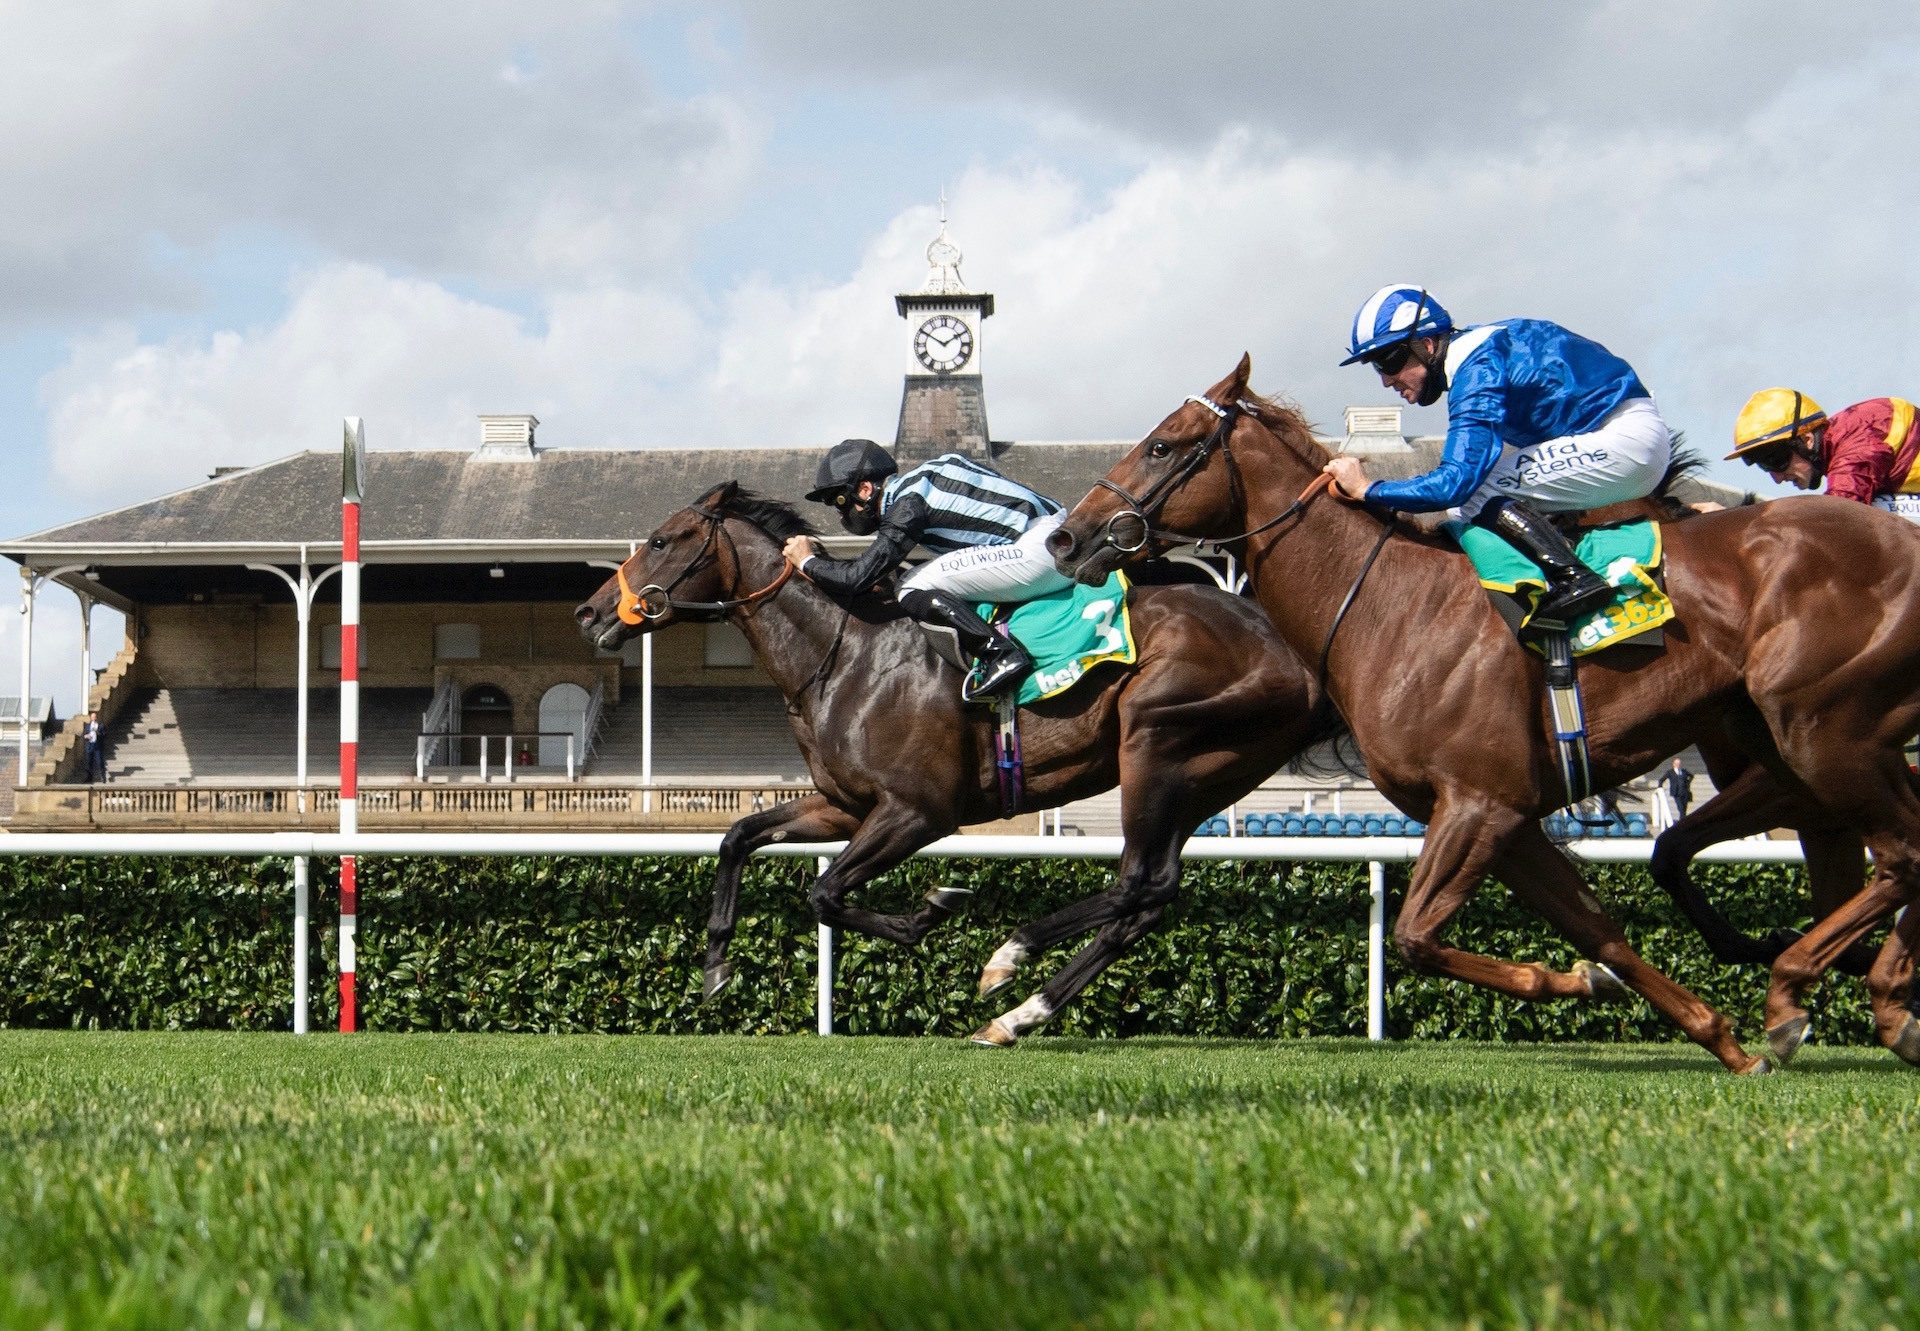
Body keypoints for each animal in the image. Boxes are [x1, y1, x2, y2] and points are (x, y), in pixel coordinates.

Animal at [576, 482, 1344, 1044]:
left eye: (662, 539)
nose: (589, 612)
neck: (846, 652)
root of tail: (1297, 649)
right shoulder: (846, 805)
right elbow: (740, 838)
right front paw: (715, 966)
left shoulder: (918, 811)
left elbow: (824, 893)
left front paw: (930, 910)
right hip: (1204, 778)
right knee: (1151, 898)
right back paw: (1017, 1016)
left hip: (1155, 744)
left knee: (1137, 882)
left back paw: (1012, 957)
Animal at [1059, 353, 1920, 1067]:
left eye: (1164, 445)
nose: (1069, 537)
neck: (1388, 604)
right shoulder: (1510, 818)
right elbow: (1600, 932)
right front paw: (1703, 1032)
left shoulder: (1477, 804)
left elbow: (1414, 937)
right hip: (1800, 750)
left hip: (1825, 733)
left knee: (1904, 852)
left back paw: (1811, 986)